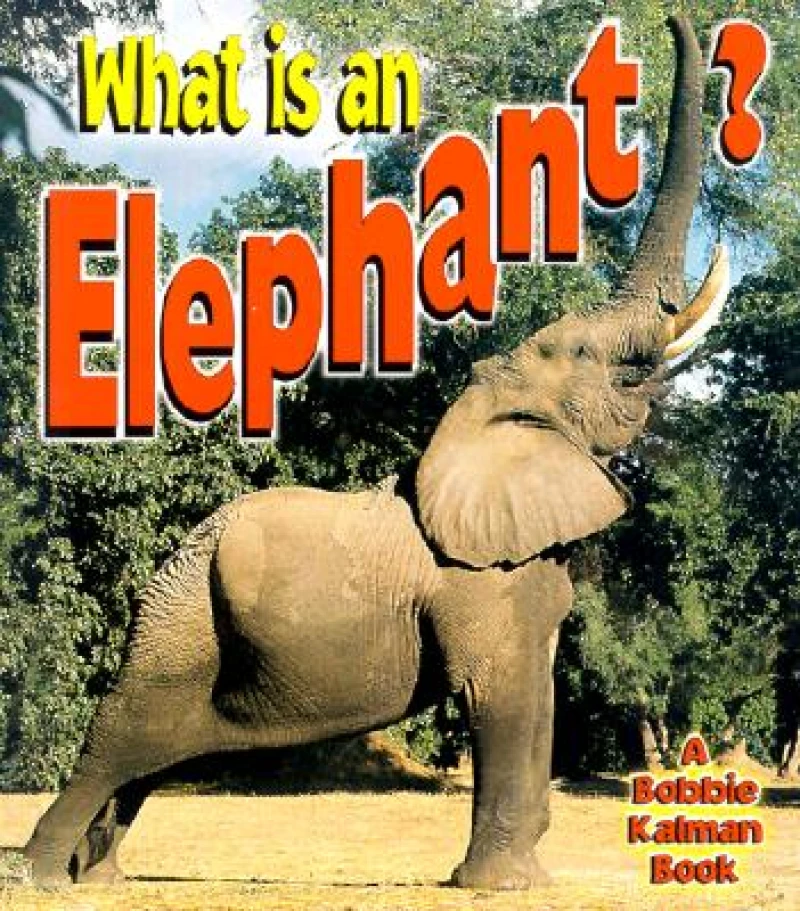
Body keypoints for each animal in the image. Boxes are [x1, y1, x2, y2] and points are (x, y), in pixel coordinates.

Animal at [25, 14, 728, 891]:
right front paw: (497, 886)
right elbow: (501, 690)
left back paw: (100, 877)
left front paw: (523, 878)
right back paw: (41, 877)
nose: (670, 23)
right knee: (117, 734)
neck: (481, 413)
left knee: (144, 759)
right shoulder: (478, 582)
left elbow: (537, 689)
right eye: (587, 355)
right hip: (178, 622)